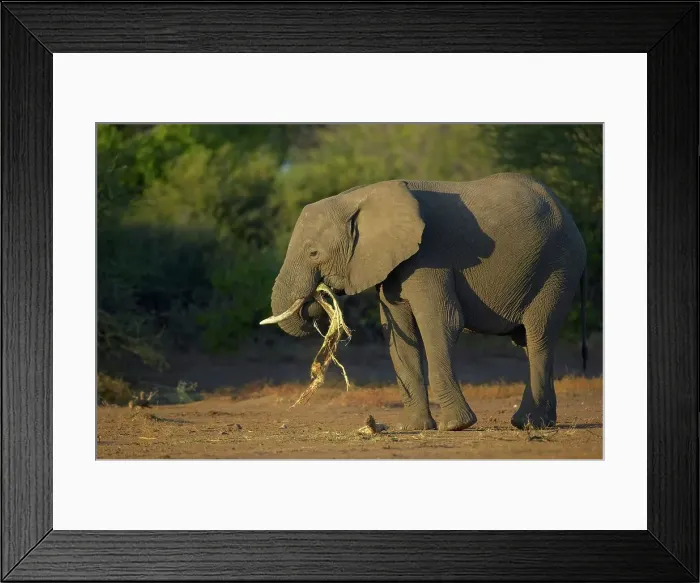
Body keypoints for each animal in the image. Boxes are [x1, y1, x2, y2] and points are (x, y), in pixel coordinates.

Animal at [260, 172, 588, 431]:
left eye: (313, 252)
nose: (316, 299)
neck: (359, 197)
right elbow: (397, 333)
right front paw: (414, 428)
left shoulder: (430, 256)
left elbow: (441, 322)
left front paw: (456, 426)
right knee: (529, 343)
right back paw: (537, 423)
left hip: (558, 268)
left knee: (538, 335)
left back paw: (529, 423)